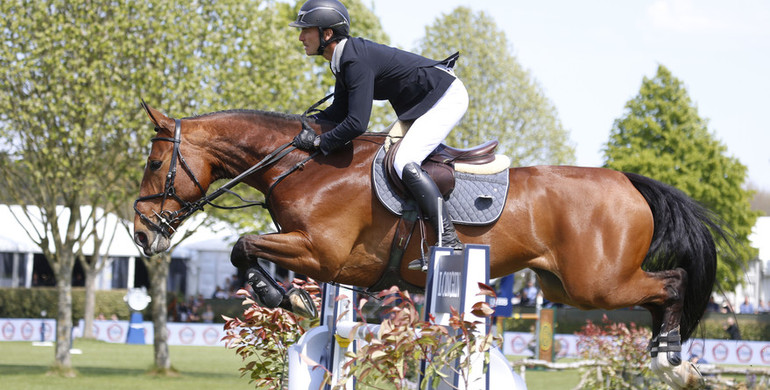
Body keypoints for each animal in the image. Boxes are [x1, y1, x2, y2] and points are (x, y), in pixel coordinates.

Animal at [134, 102, 728, 388]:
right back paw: (673, 362)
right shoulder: (326, 260)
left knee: (671, 283)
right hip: (564, 285)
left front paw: (285, 296)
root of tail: (629, 181)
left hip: (596, 284)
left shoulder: (323, 253)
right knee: (660, 290)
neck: (303, 166)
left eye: (155, 162)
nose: (141, 233)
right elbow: (247, 249)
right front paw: (292, 297)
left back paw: (672, 361)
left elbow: (242, 245)